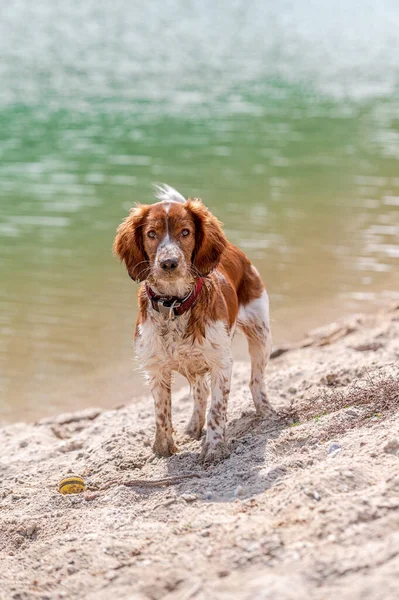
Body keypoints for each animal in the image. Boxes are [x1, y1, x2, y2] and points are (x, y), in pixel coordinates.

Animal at [114, 185, 274, 462]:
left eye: (185, 232)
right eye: (151, 233)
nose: (168, 263)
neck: (174, 305)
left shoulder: (221, 363)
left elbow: (218, 410)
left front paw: (214, 448)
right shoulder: (155, 367)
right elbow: (162, 413)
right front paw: (163, 450)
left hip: (260, 332)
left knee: (256, 380)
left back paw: (265, 410)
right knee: (201, 393)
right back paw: (193, 427)